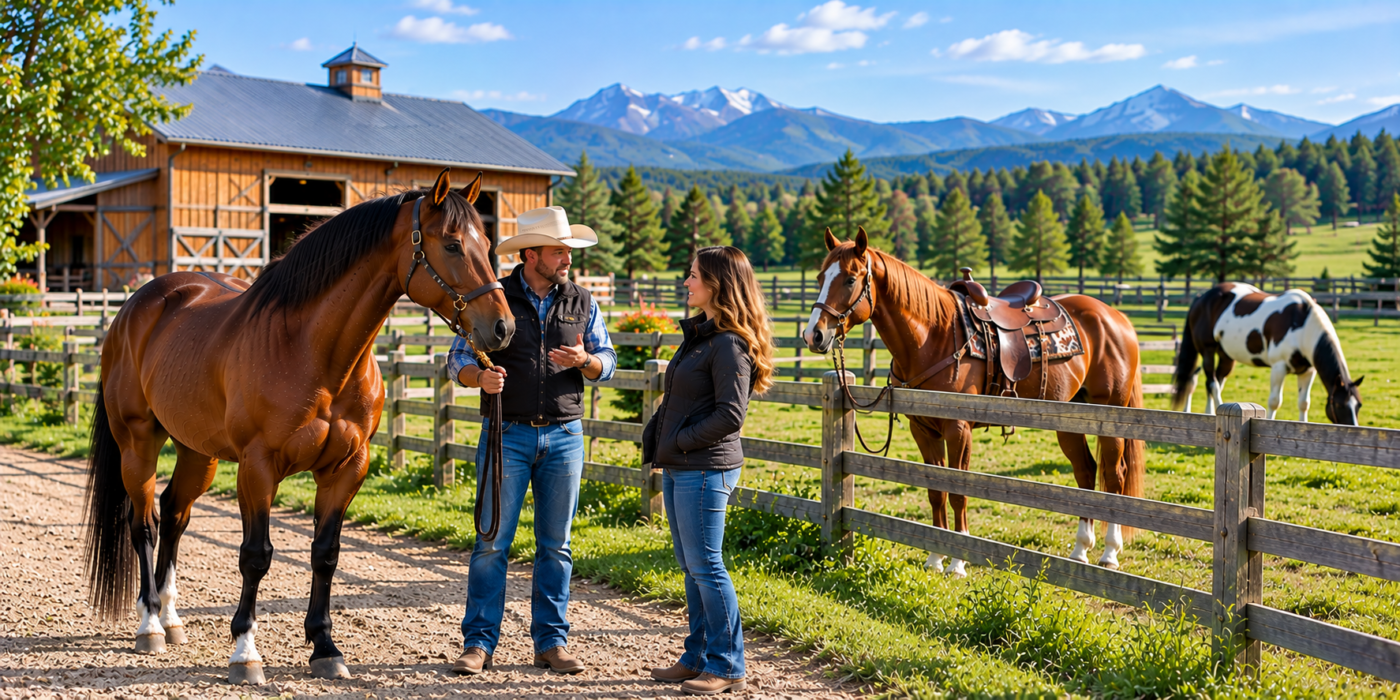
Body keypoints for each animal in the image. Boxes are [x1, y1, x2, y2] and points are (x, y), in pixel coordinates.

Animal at [82, 169, 513, 684]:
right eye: (451, 244)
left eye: (486, 242)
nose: (503, 328)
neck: (312, 351)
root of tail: (138, 306)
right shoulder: (257, 468)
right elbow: (256, 556)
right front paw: (245, 652)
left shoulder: (348, 468)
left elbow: (325, 553)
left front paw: (325, 647)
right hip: (138, 441)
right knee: (143, 522)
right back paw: (149, 624)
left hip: (198, 451)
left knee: (174, 513)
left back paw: (170, 618)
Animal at [803, 228, 1145, 575]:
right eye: (820, 276)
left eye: (850, 279)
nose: (813, 335)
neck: (933, 336)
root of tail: (1115, 317)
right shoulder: (922, 430)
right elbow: (936, 491)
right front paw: (935, 558)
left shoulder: (958, 429)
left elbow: (958, 492)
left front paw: (957, 562)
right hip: (1070, 419)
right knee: (1086, 473)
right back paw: (1080, 550)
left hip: (1111, 415)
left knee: (1114, 476)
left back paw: (1109, 553)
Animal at [1170, 282, 1363, 425]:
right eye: (1339, 405)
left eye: (1358, 405)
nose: (1352, 428)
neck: (1302, 324)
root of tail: (1201, 298)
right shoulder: (1279, 367)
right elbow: (1275, 401)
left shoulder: (1307, 371)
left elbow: (1304, 403)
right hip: (1208, 351)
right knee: (1212, 383)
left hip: (1226, 356)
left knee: (1211, 380)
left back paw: (1209, 414)